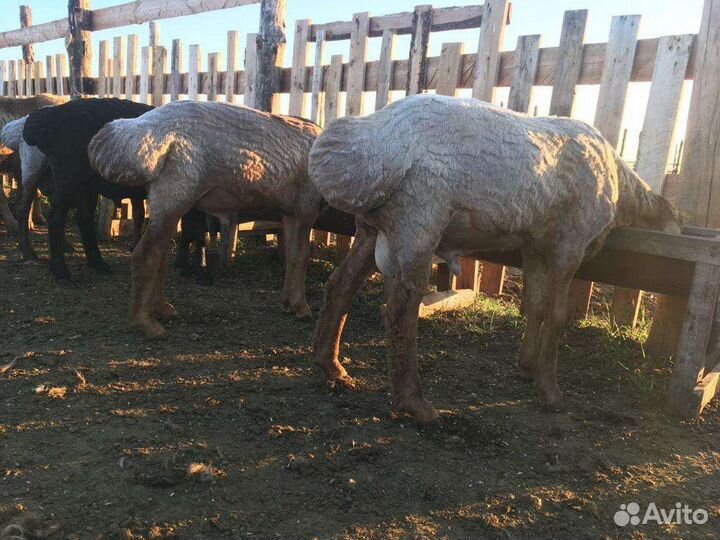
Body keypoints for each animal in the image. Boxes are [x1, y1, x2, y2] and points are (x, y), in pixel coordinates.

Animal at [22, 98, 151, 282]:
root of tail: (49, 116)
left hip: (86, 185)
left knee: (83, 219)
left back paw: (98, 264)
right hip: (68, 177)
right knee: (55, 219)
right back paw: (61, 271)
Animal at [88, 100, 354, 339]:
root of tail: (135, 131)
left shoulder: (289, 211)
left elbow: (291, 257)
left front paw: (288, 302)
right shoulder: (306, 207)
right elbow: (301, 257)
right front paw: (301, 308)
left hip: (167, 196)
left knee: (159, 252)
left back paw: (162, 309)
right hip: (175, 191)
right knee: (144, 254)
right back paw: (145, 324)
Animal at [308, 94, 680, 424]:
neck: (623, 186)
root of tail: (367, 141)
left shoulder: (534, 246)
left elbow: (537, 305)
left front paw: (527, 366)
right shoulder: (569, 245)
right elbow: (557, 314)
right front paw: (550, 392)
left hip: (372, 228)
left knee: (341, 284)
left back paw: (331, 366)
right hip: (419, 217)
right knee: (401, 309)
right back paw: (415, 403)